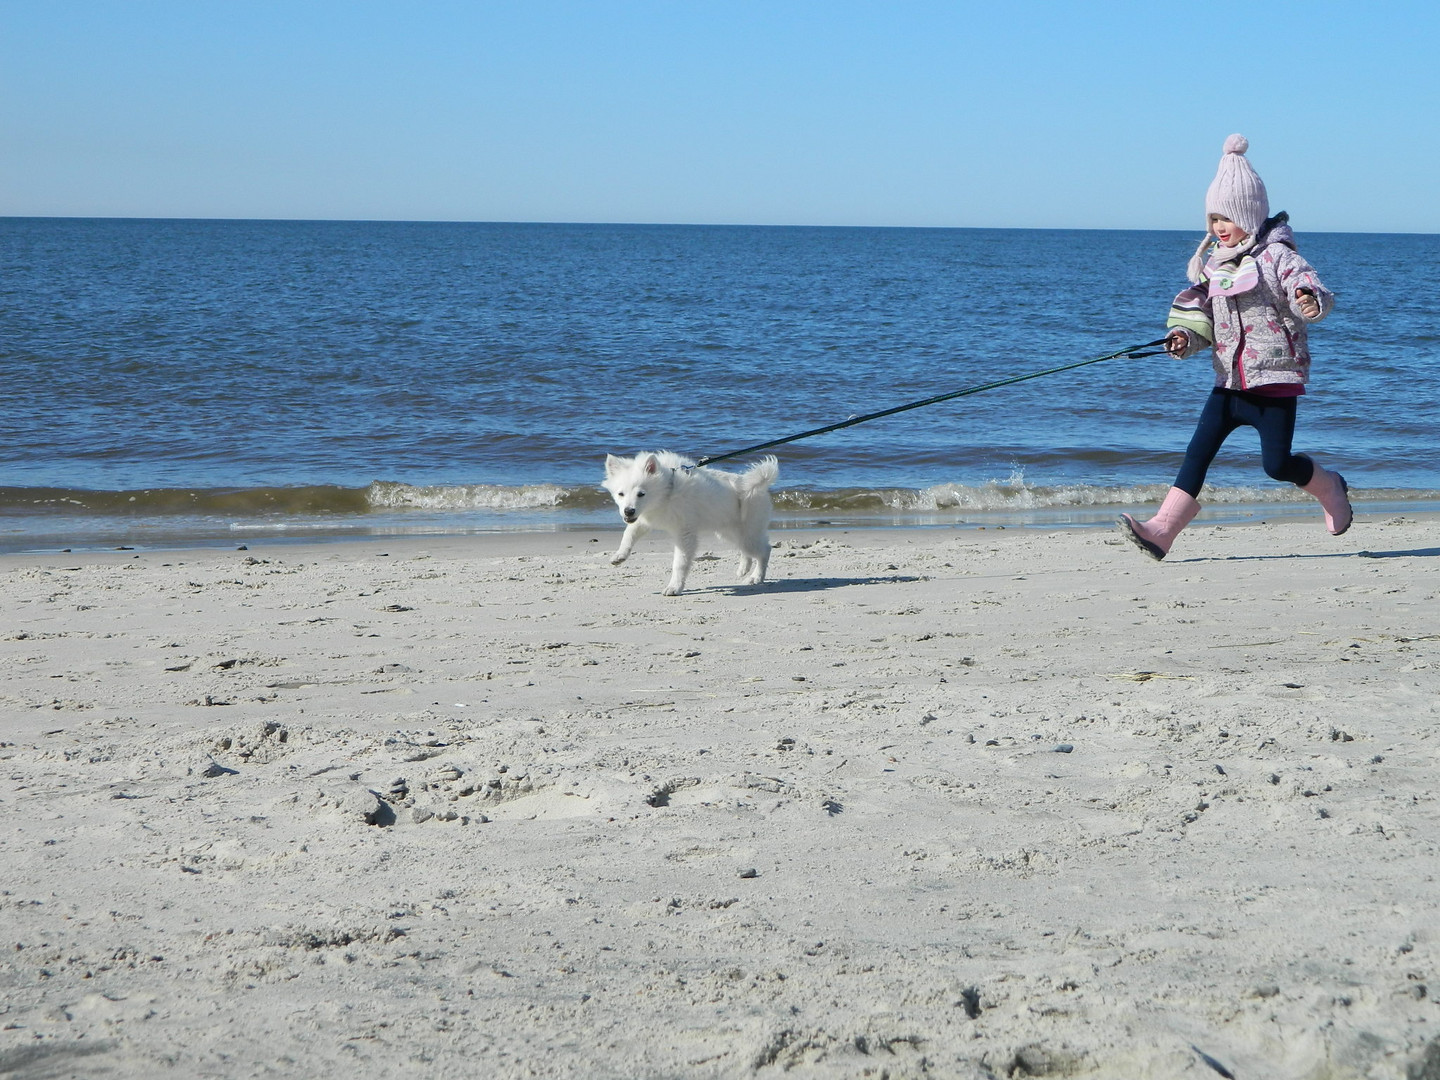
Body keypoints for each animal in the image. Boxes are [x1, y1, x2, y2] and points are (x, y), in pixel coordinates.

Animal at [601, 449, 783, 596]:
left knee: (765, 550)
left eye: (641, 494)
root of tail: (759, 485)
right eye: (621, 494)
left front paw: (674, 588)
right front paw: (619, 556)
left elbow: (679, 563)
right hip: (729, 532)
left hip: (747, 533)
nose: (628, 511)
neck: (666, 492)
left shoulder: (685, 533)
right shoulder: (644, 519)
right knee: (748, 551)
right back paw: (743, 570)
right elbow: (628, 533)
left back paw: (756, 577)